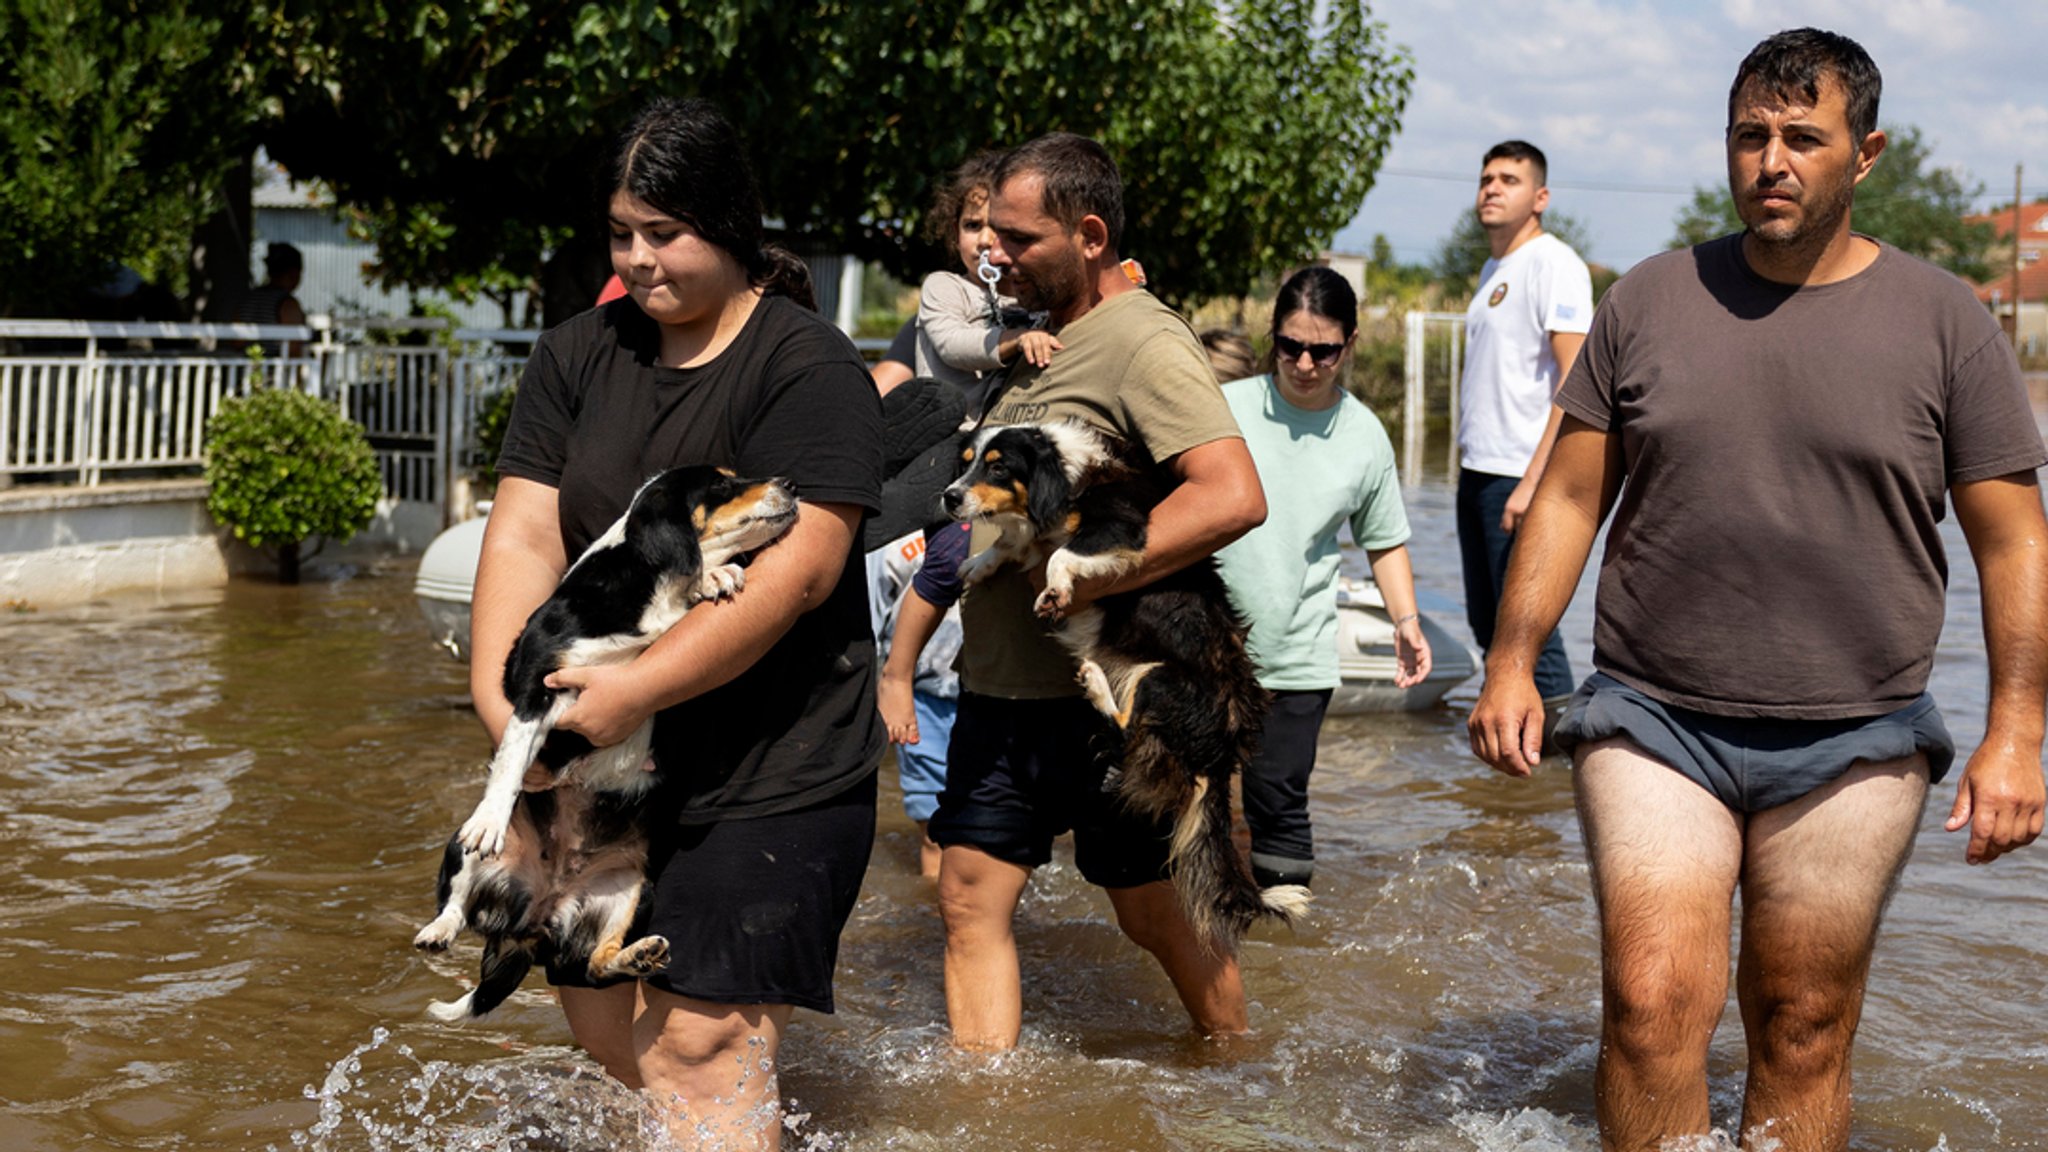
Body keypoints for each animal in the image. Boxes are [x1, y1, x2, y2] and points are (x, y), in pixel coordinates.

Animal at [411, 461, 794, 1016]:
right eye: (721, 484)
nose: (791, 485)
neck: (649, 591)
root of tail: (535, 922)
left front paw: (714, 576)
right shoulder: (539, 687)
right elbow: (510, 765)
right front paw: (492, 818)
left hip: (632, 889)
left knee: (597, 963)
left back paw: (639, 954)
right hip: (460, 854)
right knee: (459, 904)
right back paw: (438, 929)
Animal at [937, 420, 1302, 942]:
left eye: (999, 467)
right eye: (965, 461)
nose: (948, 497)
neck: (1068, 478)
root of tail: (1222, 751)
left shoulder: (1119, 527)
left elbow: (1059, 554)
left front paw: (1053, 590)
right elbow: (1010, 544)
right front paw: (980, 562)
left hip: (1159, 678)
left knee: (1127, 732)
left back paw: (1093, 681)